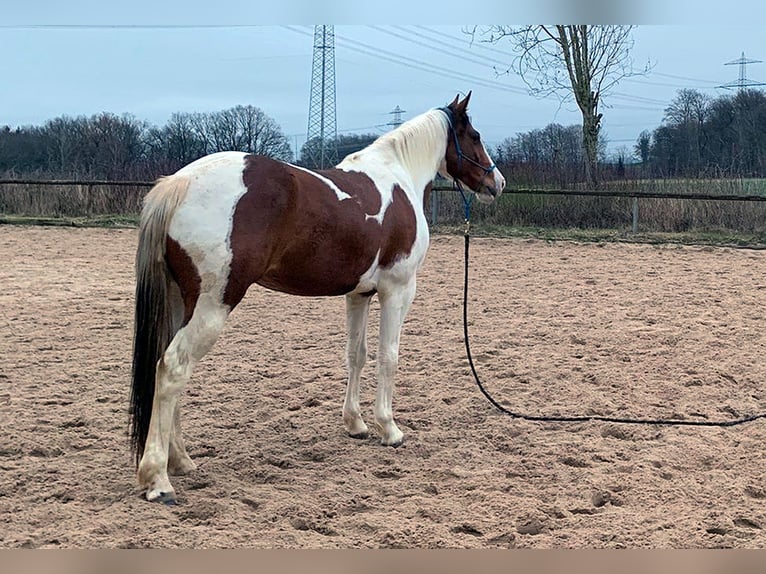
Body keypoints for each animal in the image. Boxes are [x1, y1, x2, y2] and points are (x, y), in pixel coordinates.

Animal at [129, 91, 508, 504]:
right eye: (474, 135)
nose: (497, 182)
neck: (398, 176)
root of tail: (179, 183)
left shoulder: (359, 294)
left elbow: (356, 355)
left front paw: (356, 424)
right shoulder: (398, 290)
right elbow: (388, 357)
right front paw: (389, 429)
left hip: (181, 302)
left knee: (167, 369)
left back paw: (180, 461)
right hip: (212, 305)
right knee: (173, 368)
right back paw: (158, 480)